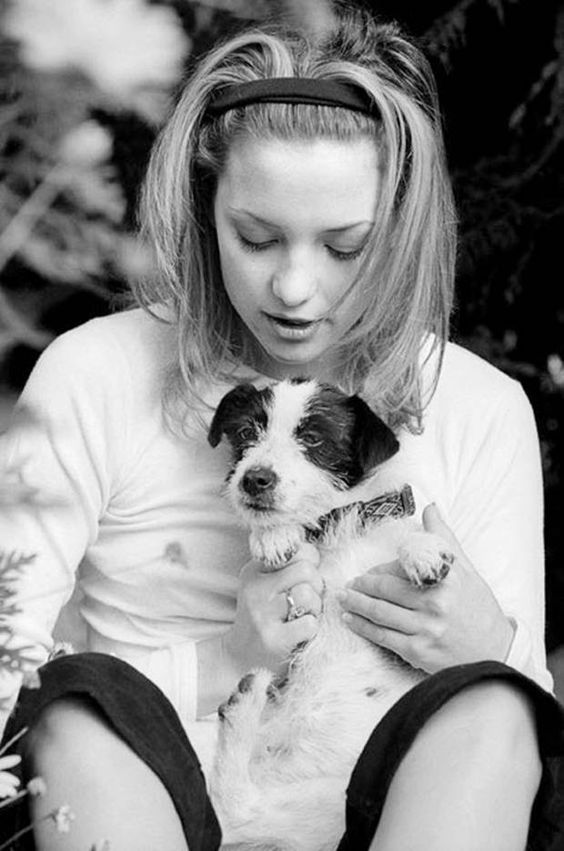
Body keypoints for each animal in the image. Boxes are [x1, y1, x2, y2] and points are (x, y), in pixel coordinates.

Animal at [207, 382, 454, 851]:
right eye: (246, 432)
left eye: (313, 438)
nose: (254, 479)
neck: (339, 524)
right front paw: (273, 535)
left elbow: (406, 536)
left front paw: (423, 551)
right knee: (239, 809)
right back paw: (244, 706)